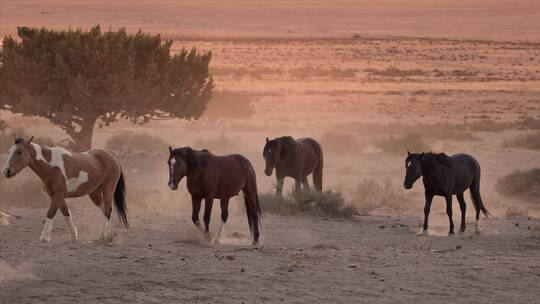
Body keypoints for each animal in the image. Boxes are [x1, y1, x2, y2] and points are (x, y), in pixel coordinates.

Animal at [1, 137, 129, 241]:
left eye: (19, 151)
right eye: (9, 151)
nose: (7, 171)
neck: (51, 166)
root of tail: (113, 157)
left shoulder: (58, 195)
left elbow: (50, 213)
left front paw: (44, 237)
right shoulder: (57, 196)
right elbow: (66, 213)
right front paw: (74, 236)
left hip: (108, 189)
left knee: (107, 210)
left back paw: (102, 236)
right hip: (94, 193)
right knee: (104, 211)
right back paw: (109, 234)